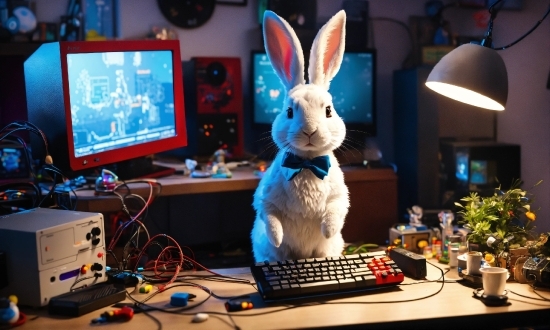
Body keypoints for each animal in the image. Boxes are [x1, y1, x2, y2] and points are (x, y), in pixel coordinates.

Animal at [252, 9, 352, 262]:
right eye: (289, 111)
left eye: (328, 111)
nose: (309, 130)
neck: (307, 163)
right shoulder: (265, 198)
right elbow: (270, 218)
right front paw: (277, 238)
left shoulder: (339, 196)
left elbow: (335, 211)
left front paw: (328, 230)